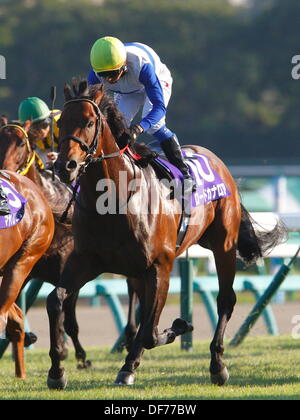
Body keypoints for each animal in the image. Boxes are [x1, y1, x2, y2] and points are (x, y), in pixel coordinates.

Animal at [47, 82, 286, 390]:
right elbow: (56, 300)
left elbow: (150, 331)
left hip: (223, 246)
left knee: (225, 300)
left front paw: (179, 327)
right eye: (60, 123)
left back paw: (217, 365)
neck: (115, 198)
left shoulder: (160, 265)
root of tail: (219, 163)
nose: (66, 166)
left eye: (89, 122)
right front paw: (57, 371)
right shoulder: (86, 260)